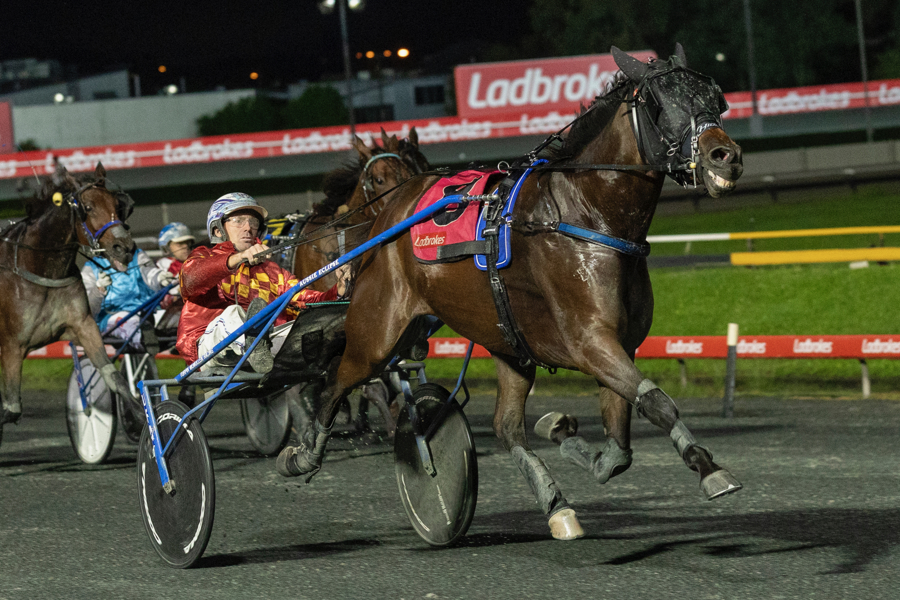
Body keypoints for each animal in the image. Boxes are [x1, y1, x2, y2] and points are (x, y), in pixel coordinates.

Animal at [0, 162, 144, 448]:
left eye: (118, 203)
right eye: (87, 207)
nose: (123, 247)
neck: (40, 268)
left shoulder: (82, 326)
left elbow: (114, 377)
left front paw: (142, 421)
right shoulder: (11, 345)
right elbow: (11, 410)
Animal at [278, 45, 745, 539]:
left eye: (716, 98)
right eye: (659, 102)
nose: (725, 155)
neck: (585, 214)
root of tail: (386, 220)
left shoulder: (619, 344)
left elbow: (618, 450)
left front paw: (562, 433)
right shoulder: (590, 342)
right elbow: (656, 402)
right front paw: (710, 468)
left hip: (506, 342)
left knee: (506, 427)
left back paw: (556, 505)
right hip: (377, 332)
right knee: (334, 382)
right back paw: (303, 454)